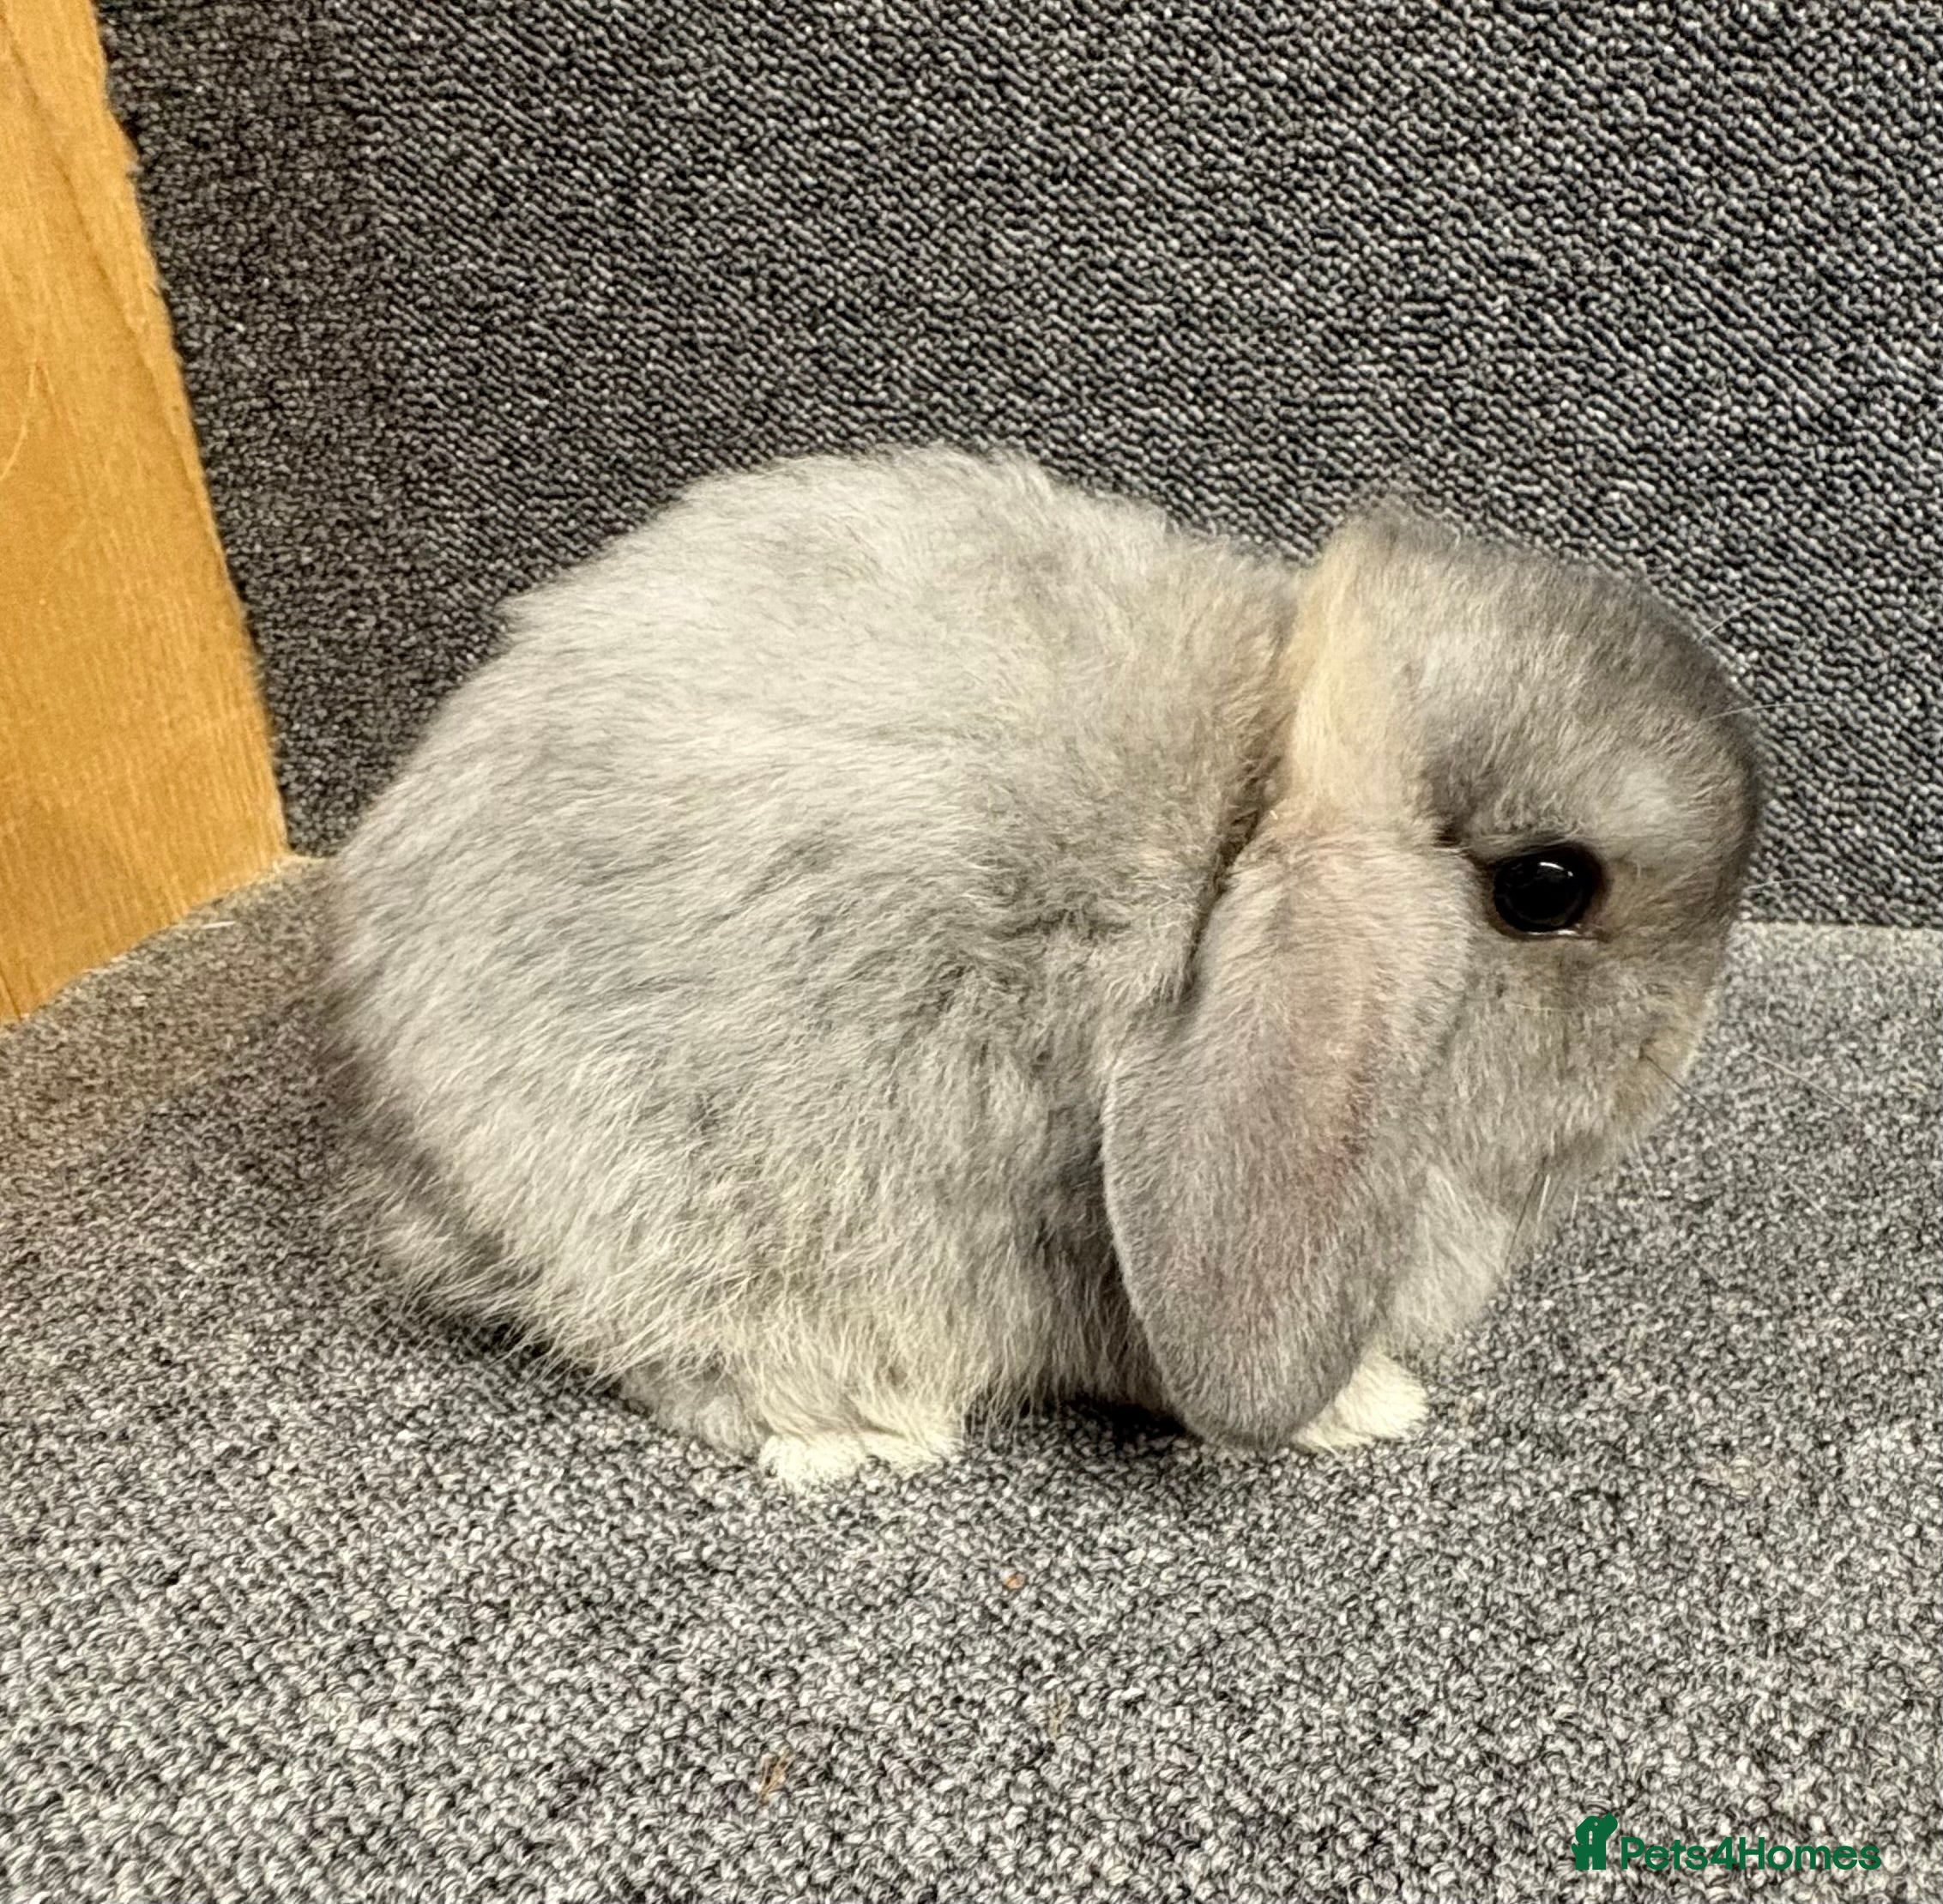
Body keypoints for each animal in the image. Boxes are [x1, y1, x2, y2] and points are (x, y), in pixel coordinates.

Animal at [324, 446, 1761, 1487]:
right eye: (1547, 888)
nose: (1679, 1047)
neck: (1243, 815)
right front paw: (1365, 1403)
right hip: (658, 1187)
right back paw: (854, 1425)